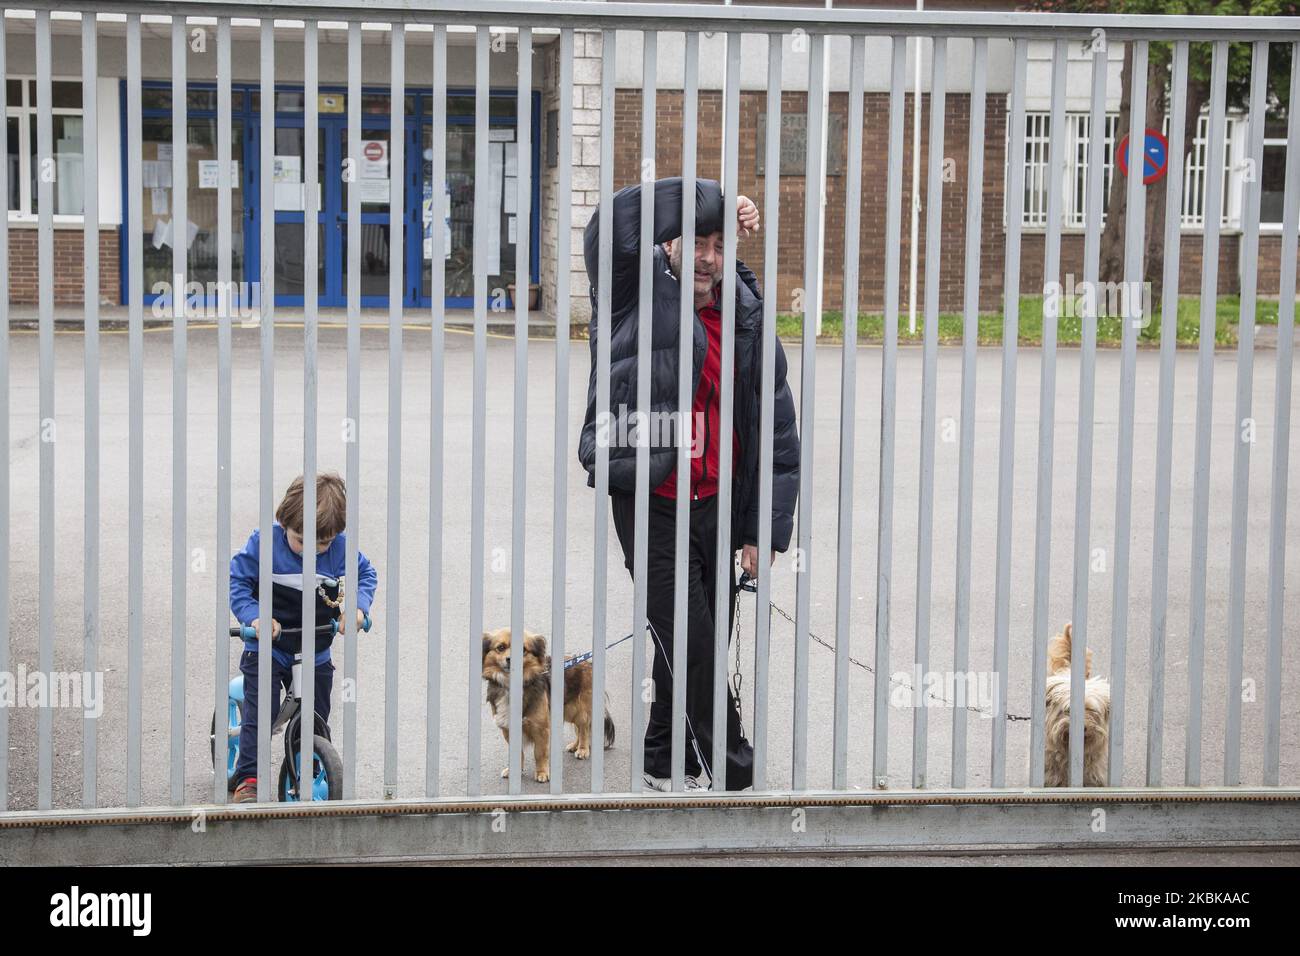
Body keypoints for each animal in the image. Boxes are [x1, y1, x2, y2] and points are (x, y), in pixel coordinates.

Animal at [483, 629, 613, 785]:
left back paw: (583, 749)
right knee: (581, 728)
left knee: (584, 728)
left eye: (523, 649)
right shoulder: (508, 728)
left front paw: (542, 773)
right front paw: (514, 770)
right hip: (567, 710)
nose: (510, 659)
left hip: (578, 710)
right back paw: (575, 745)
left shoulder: (541, 728)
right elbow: (517, 753)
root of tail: (586, 661)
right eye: (500, 647)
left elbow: (539, 753)